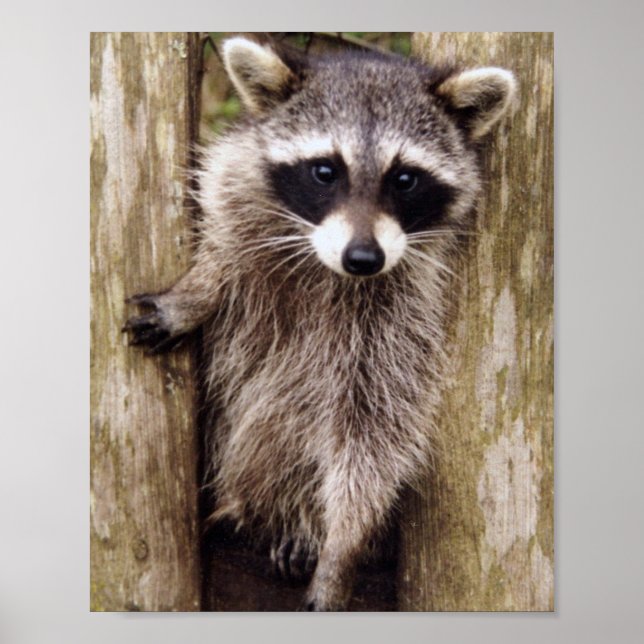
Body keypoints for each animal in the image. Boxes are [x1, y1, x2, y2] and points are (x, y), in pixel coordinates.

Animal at [123, 36, 516, 611]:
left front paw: (343, 543)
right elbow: (224, 247)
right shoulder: (239, 189)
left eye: (405, 179)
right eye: (326, 171)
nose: (363, 258)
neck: (324, 263)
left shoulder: (399, 319)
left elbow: (376, 430)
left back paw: (297, 521)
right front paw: (196, 293)